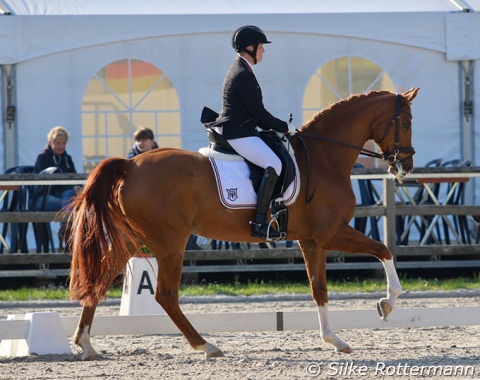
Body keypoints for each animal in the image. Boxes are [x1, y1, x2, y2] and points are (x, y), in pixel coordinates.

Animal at [69, 87, 418, 360]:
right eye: (405, 122)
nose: (406, 165)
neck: (324, 157)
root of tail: (130, 165)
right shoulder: (331, 233)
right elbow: (383, 250)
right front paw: (387, 304)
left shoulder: (311, 240)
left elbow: (319, 289)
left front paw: (334, 340)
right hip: (170, 243)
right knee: (165, 295)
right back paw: (207, 346)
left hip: (135, 240)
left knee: (101, 279)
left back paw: (86, 344)